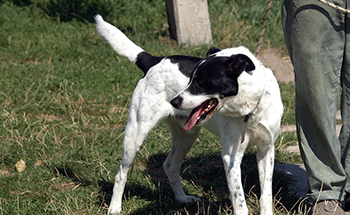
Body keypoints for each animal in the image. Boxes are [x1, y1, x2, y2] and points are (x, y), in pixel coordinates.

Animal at [94, 15, 284, 215]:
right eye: (190, 79)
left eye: (200, 81)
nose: (174, 102)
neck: (251, 109)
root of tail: (154, 60)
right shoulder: (231, 157)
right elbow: (240, 202)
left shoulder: (267, 149)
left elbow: (266, 194)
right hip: (136, 134)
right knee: (121, 173)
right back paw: (115, 207)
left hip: (186, 135)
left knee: (170, 166)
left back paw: (182, 199)